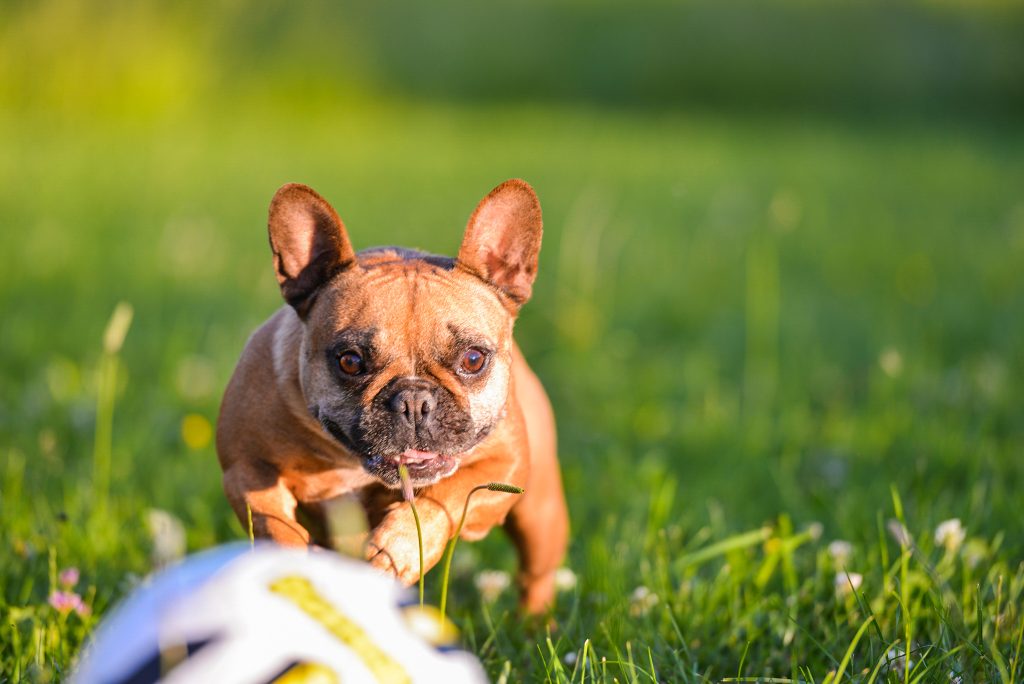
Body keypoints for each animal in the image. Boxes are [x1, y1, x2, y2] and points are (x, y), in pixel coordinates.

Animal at [216, 179, 569, 612]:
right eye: (350, 361)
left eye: (473, 359)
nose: (414, 401)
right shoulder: (247, 470)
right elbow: (275, 526)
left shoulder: (504, 465)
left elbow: (447, 498)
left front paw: (398, 549)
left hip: (539, 512)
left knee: (536, 574)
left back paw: (534, 621)